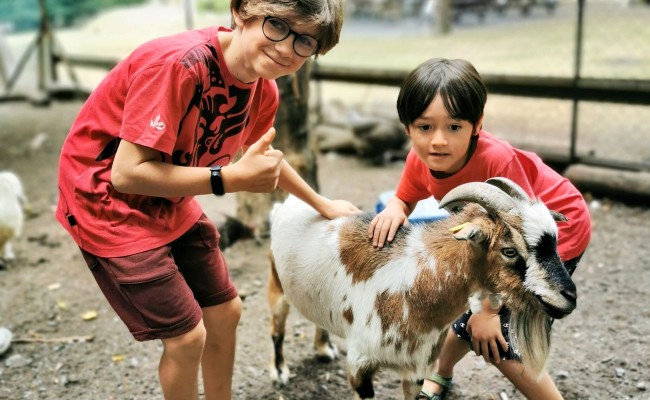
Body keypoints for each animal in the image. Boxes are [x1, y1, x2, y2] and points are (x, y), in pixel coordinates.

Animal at [266, 179, 576, 400]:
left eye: (555, 241)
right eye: (509, 250)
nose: (569, 296)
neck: (413, 281)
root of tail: (286, 204)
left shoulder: (415, 367)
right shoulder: (360, 365)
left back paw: (323, 349)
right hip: (277, 285)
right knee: (277, 329)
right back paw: (280, 372)